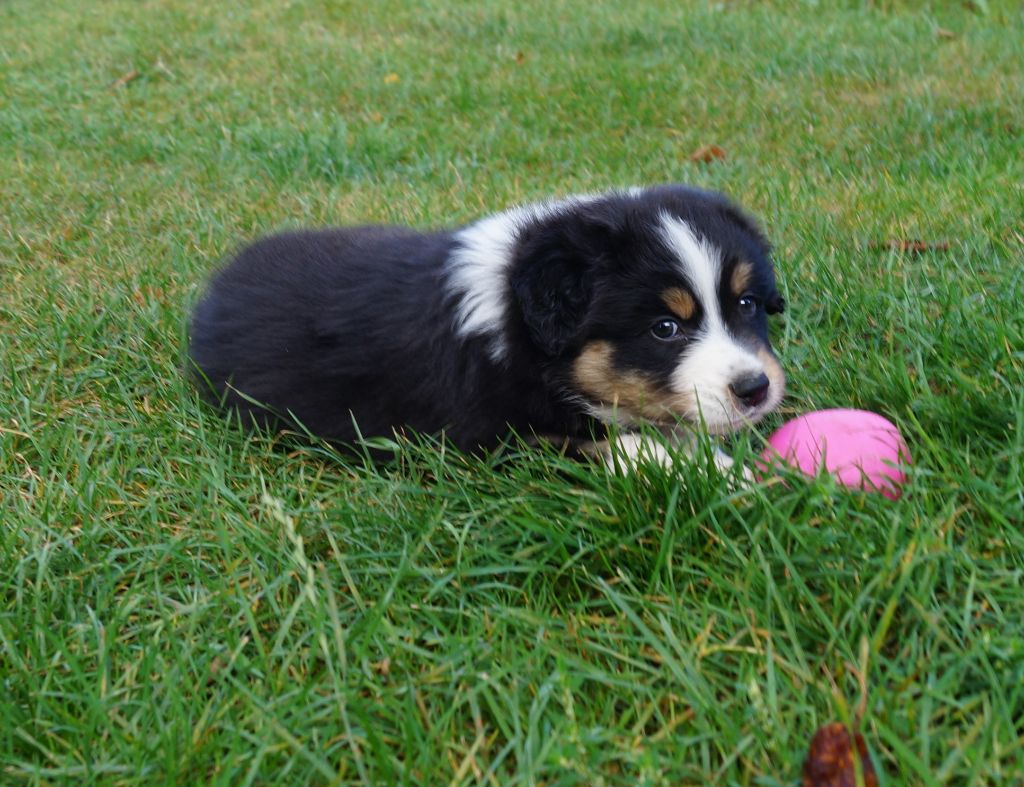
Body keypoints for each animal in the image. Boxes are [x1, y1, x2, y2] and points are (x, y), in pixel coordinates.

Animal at [190, 184, 782, 466]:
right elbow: (622, 443)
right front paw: (733, 475)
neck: (516, 324)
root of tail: (214, 291)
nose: (755, 389)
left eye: (747, 304)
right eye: (664, 328)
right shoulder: (503, 435)